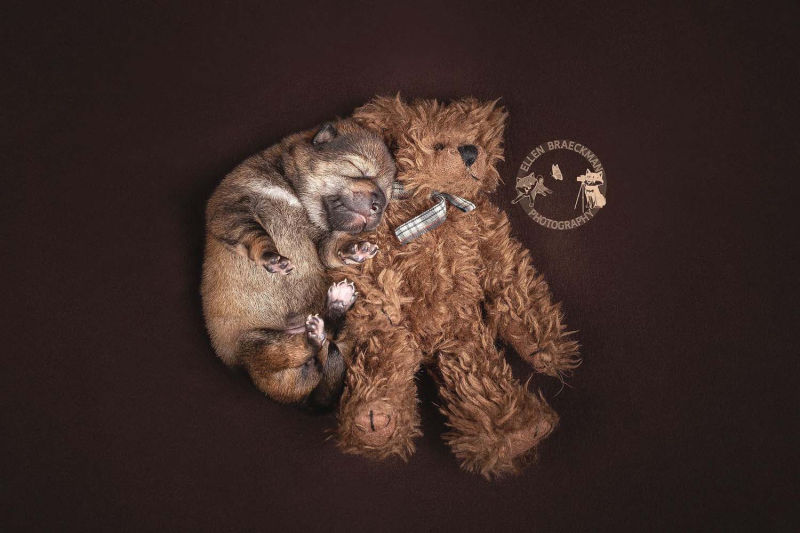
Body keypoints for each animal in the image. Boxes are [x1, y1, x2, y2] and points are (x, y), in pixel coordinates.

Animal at [201, 119, 395, 409]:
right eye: (358, 169)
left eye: (387, 193)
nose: (379, 205)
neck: (295, 194)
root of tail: (297, 397)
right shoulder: (231, 208)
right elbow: (254, 234)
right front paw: (272, 257)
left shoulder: (322, 240)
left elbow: (331, 250)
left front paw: (356, 249)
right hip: (255, 344)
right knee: (297, 349)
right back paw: (318, 327)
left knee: (328, 339)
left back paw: (334, 308)